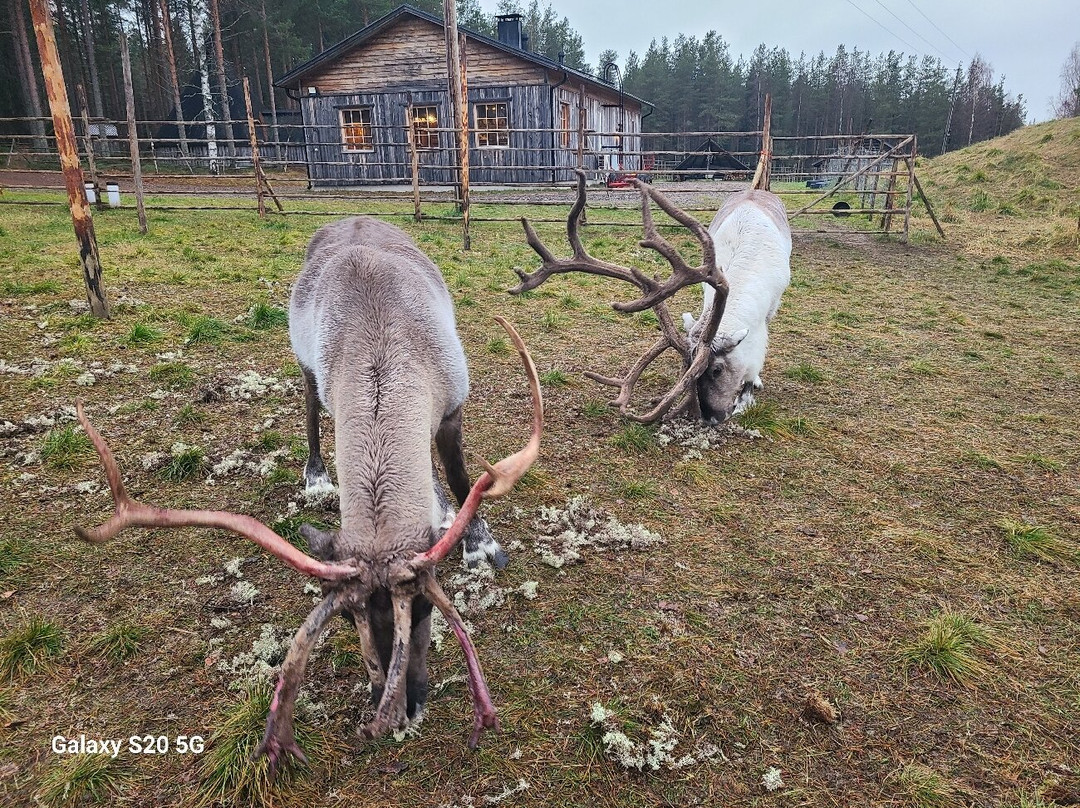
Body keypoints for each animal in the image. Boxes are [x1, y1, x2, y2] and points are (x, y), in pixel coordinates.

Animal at [72, 217, 543, 773]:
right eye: (349, 619)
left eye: (426, 610)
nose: (401, 709)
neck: (384, 350)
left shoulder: (451, 407)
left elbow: (462, 477)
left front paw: (481, 543)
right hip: (306, 368)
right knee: (308, 408)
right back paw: (317, 474)